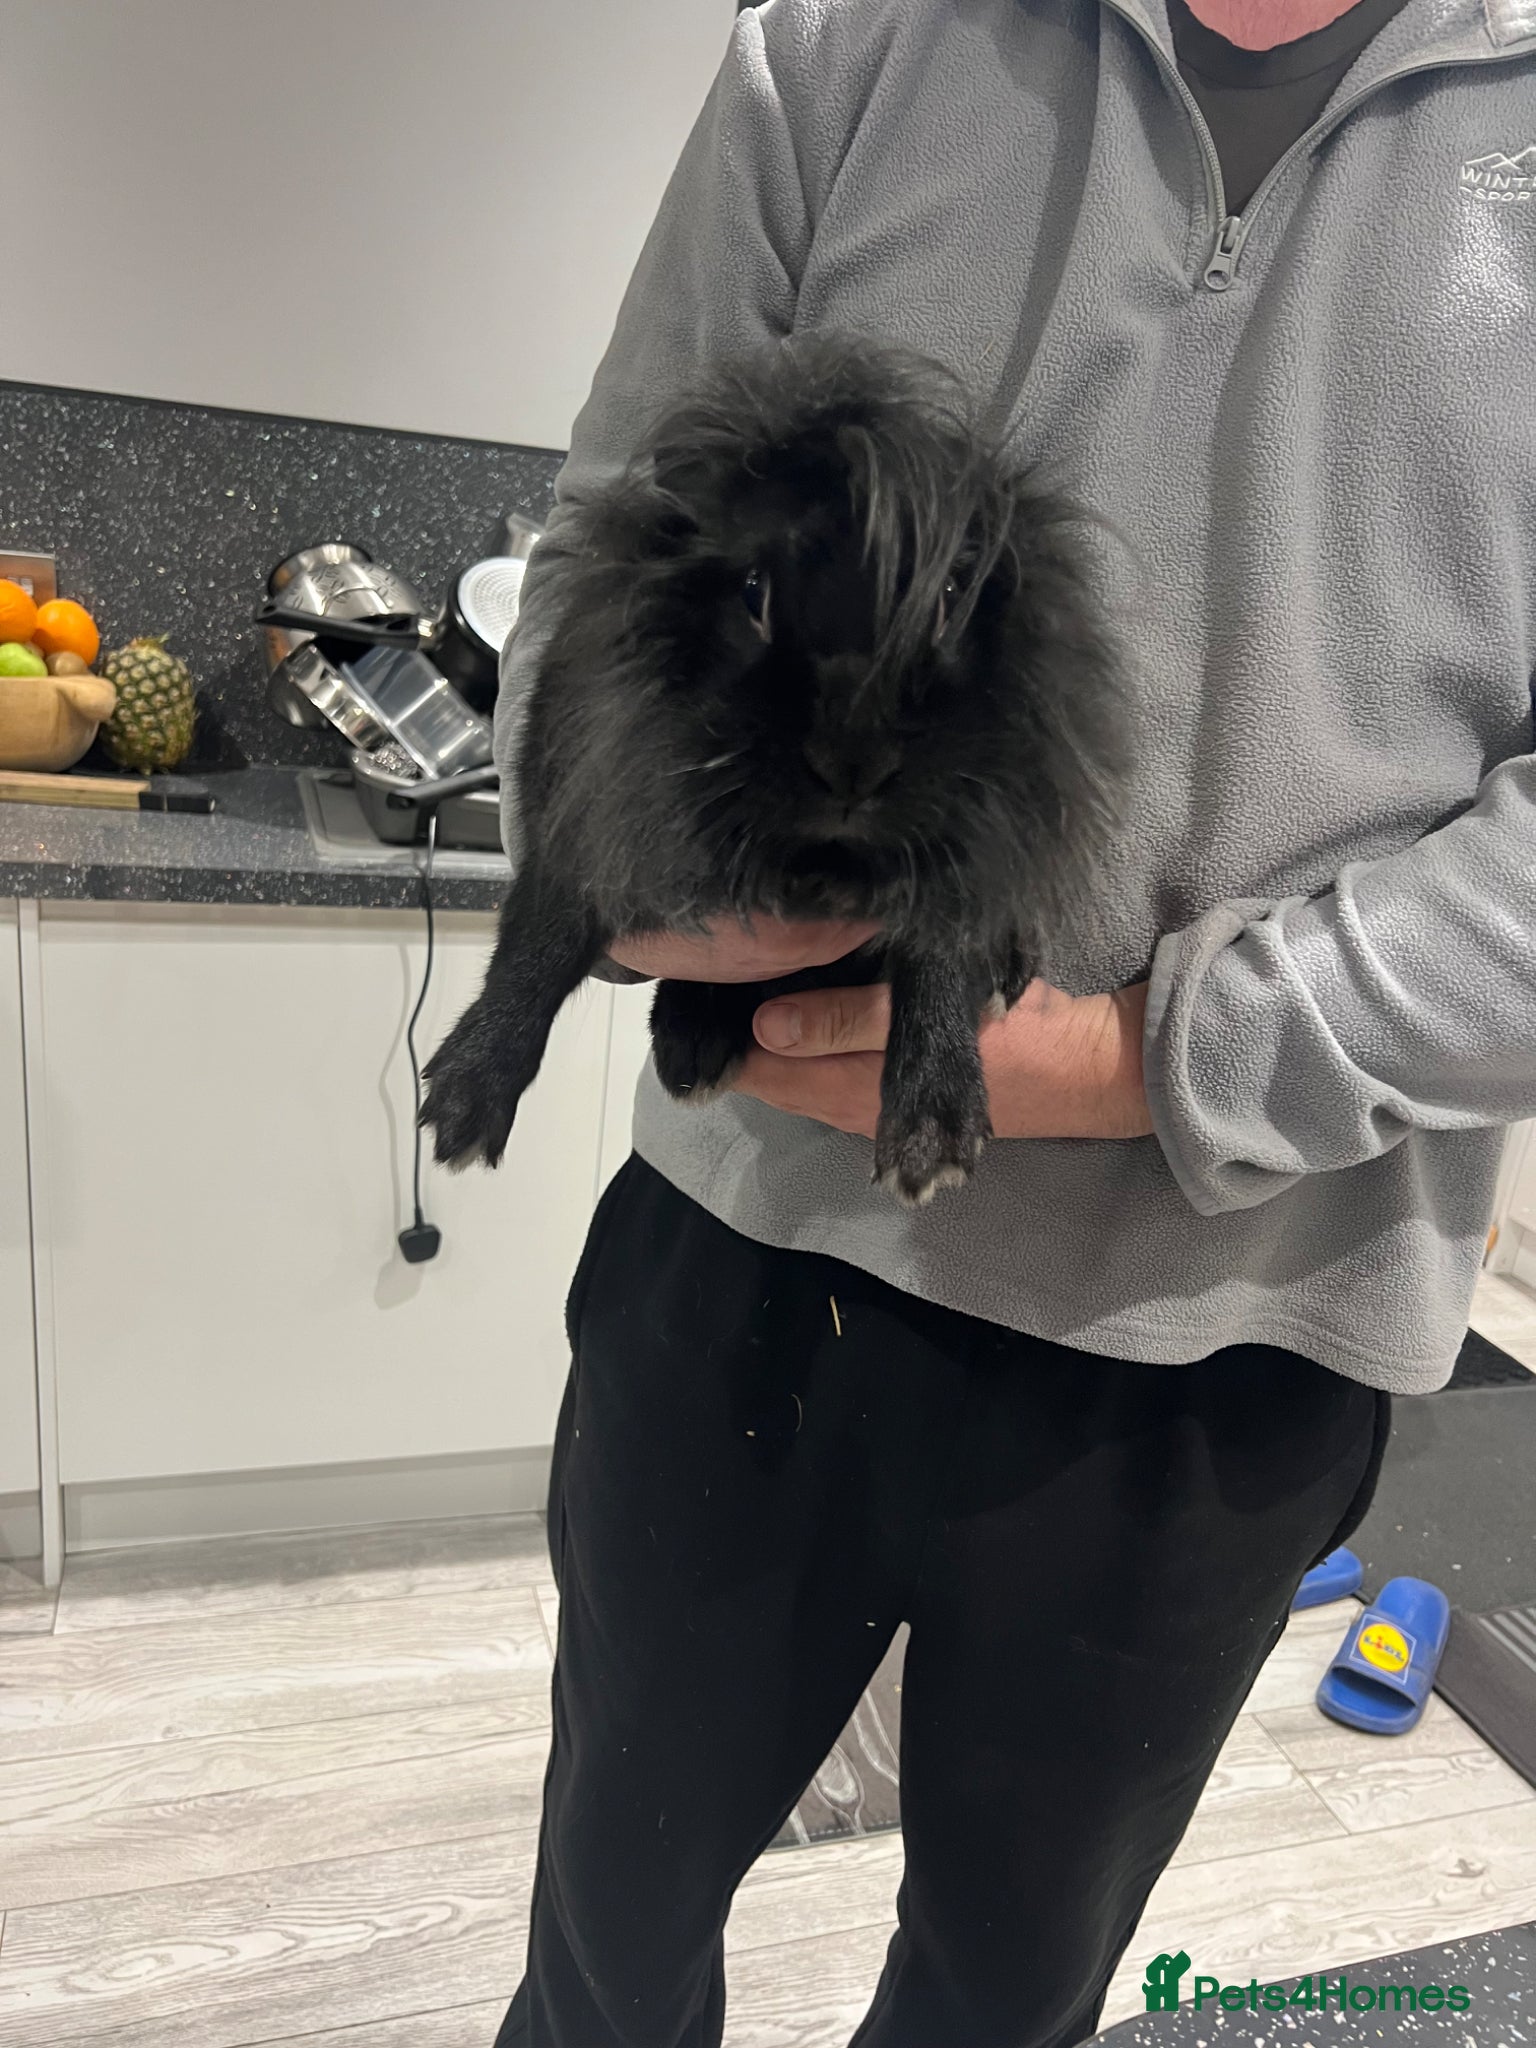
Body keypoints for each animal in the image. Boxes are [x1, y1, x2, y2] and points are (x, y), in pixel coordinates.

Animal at [419, 328, 1132, 1207]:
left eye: (948, 600)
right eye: (753, 589)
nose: (853, 763)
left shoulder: (958, 858)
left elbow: (936, 962)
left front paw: (930, 1144)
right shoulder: (583, 812)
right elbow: (537, 943)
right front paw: (459, 1109)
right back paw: (689, 1048)